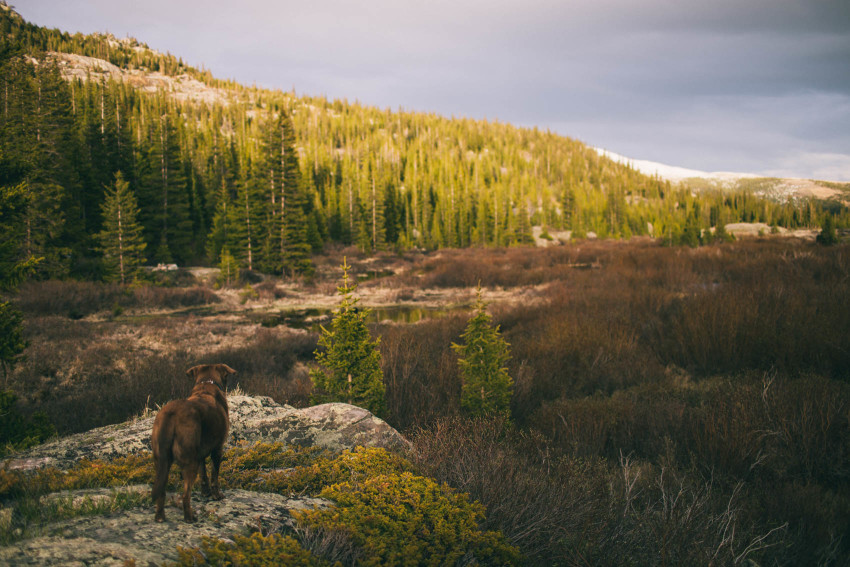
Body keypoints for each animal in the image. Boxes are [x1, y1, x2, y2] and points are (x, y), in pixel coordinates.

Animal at [151, 364, 234, 524]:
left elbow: (204, 474)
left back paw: (160, 516)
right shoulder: (217, 449)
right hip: (189, 460)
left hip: (161, 461)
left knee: (161, 490)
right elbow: (214, 475)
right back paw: (189, 516)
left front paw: (205, 492)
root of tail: (171, 413)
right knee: (185, 495)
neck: (207, 384)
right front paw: (216, 495)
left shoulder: (200, 453)